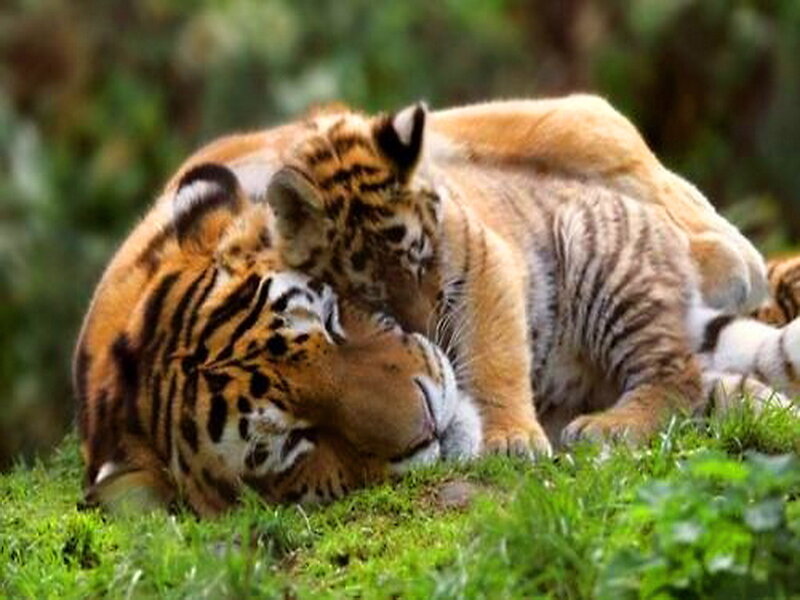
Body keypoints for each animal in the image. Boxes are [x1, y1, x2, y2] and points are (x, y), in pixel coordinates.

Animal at [261, 101, 799, 451]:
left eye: (426, 260)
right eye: (371, 294)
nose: (431, 330)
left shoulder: (484, 263)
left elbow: (493, 353)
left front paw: (511, 437)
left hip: (604, 266)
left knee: (677, 376)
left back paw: (607, 427)